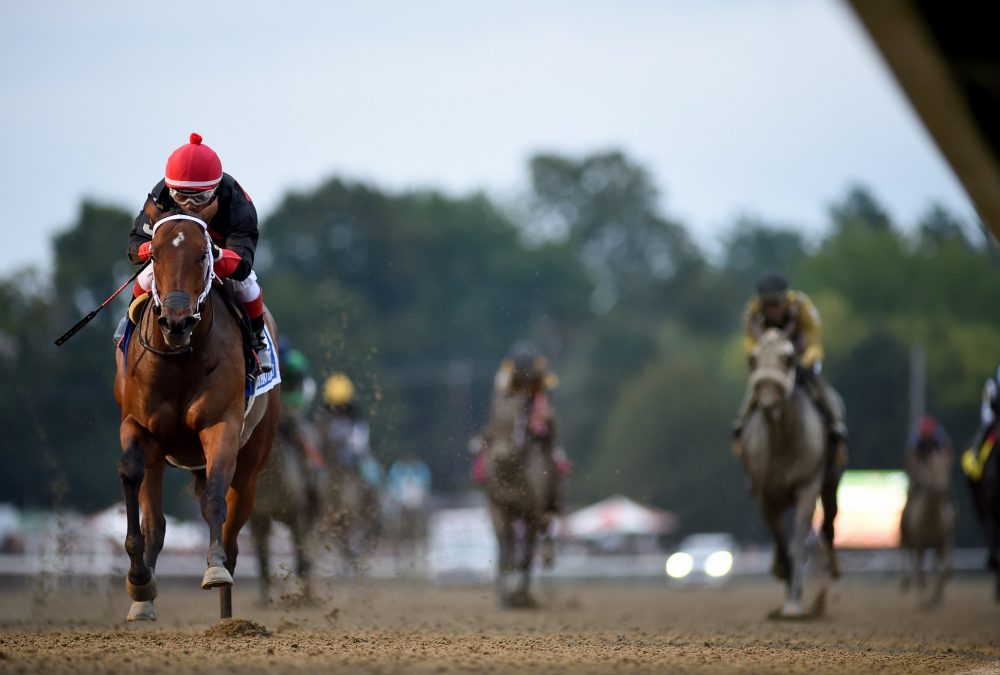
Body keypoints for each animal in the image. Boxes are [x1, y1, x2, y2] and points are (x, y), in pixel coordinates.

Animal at [113, 202, 282, 624]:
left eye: (204, 255)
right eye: (155, 255)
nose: (176, 321)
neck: (179, 358)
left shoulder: (220, 427)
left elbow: (214, 500)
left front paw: (215, 569)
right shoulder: (137, 426)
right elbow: (130, 474)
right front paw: (139, 581)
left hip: (252, 464)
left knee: (234, 536)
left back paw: (227, 615)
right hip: (160, 456)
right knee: (156, 524)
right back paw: (145, 599)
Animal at [740, 330, 840, 620]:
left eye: (789, 357)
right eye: (753, 358)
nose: (766, 399)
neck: (782, 441)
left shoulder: (807, 487)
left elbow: (798, 544)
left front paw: (795, 604)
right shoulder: (763, 494)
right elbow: (782, 544)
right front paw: (784, 581)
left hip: (831, 484)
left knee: (828, 526)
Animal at [900, 444, 952, 608]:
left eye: (946, 468)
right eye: (931, 469)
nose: (940, 489)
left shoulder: (943, 542)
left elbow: (944, 568)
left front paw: (936, 597)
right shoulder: (919, 544)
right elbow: (920, 570)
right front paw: (923, 598)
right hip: (907, 538)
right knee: (908, 555)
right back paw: (907, 585)